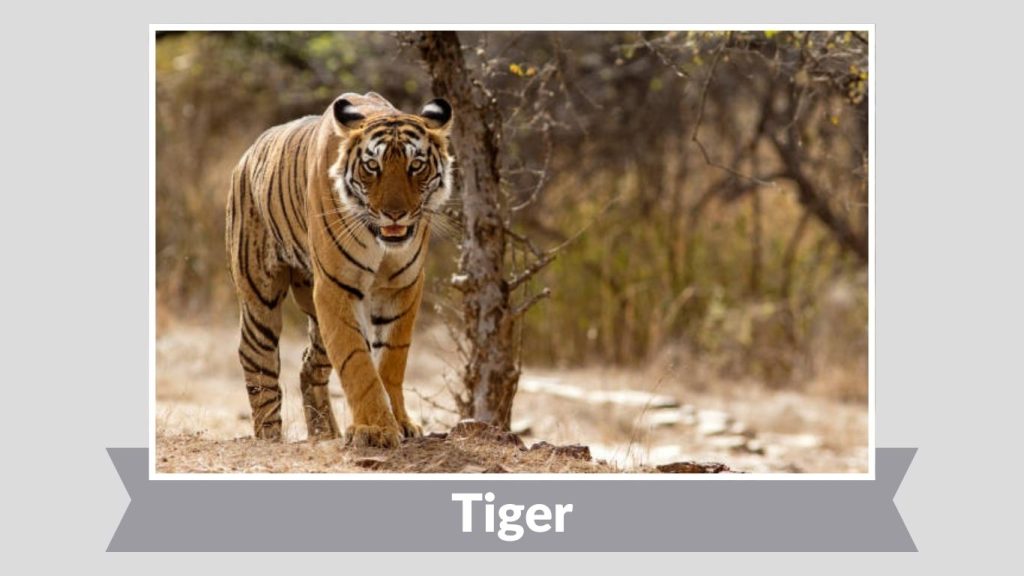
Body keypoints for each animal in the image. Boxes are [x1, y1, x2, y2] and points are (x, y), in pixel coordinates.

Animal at [225, 91, 454, 448]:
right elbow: (356, 361)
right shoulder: (336, 287)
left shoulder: (402, 286)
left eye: (415, 165)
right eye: (372, 166)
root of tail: (247, 155)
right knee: (256, 359)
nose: (395, 214)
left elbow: (391, 359)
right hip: (260, 295)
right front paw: (375, 429)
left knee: (309, 365)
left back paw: (324, 433)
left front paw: (400, 423)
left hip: (315, 318)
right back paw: (269, 437)